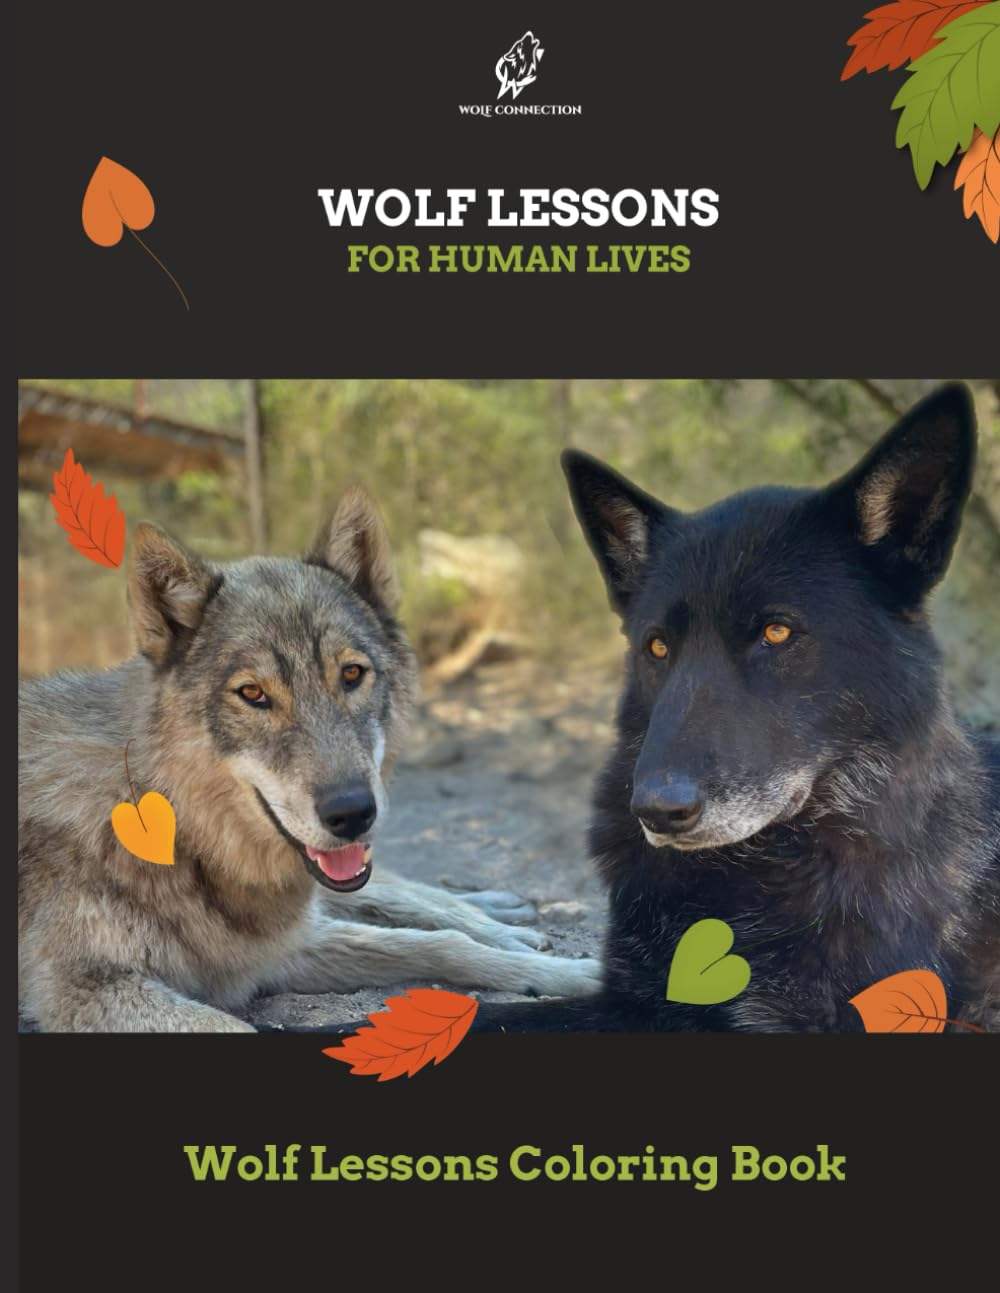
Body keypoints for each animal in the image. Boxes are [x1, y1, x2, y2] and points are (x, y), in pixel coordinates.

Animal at [18, 488, 599, 1031]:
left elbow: (443, 945)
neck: (185, 843)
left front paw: (572, 974)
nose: (352, 813)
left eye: (351, 674)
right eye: (253, 694)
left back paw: (501, 913)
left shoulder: (273, 953)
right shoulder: (85, 991)